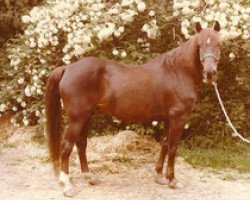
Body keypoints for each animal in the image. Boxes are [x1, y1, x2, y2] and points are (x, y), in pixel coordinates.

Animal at [45, 21, 221, 196]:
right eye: (199, 45)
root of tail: (67, 68)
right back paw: (67, 185)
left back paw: (89, 177)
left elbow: (164, 144)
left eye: (218, 44)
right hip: (77, 118)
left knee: (81, 144)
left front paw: (159, 176)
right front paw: (172, 180)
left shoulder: (168, 118)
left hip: (87, 116)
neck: (178, 72)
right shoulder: (179, 118)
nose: (210, 72)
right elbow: (172, 148)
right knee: (67, 146)